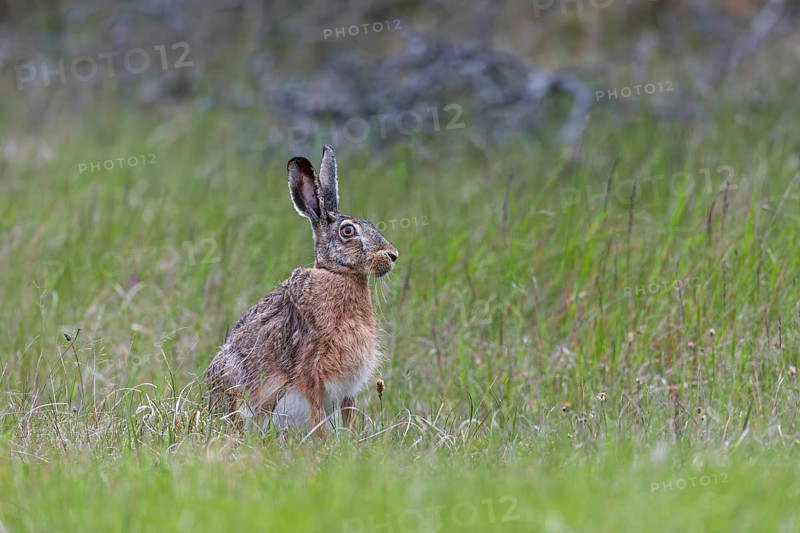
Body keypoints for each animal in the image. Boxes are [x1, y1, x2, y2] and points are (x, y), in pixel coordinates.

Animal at [205, 145, 398, 435]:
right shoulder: (311, 367)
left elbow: (348, 414)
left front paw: (349, 441)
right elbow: (316, 412)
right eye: (348, 231)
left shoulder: (347, 387)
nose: (393, 255)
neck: (337, 274)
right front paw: (324, 441)